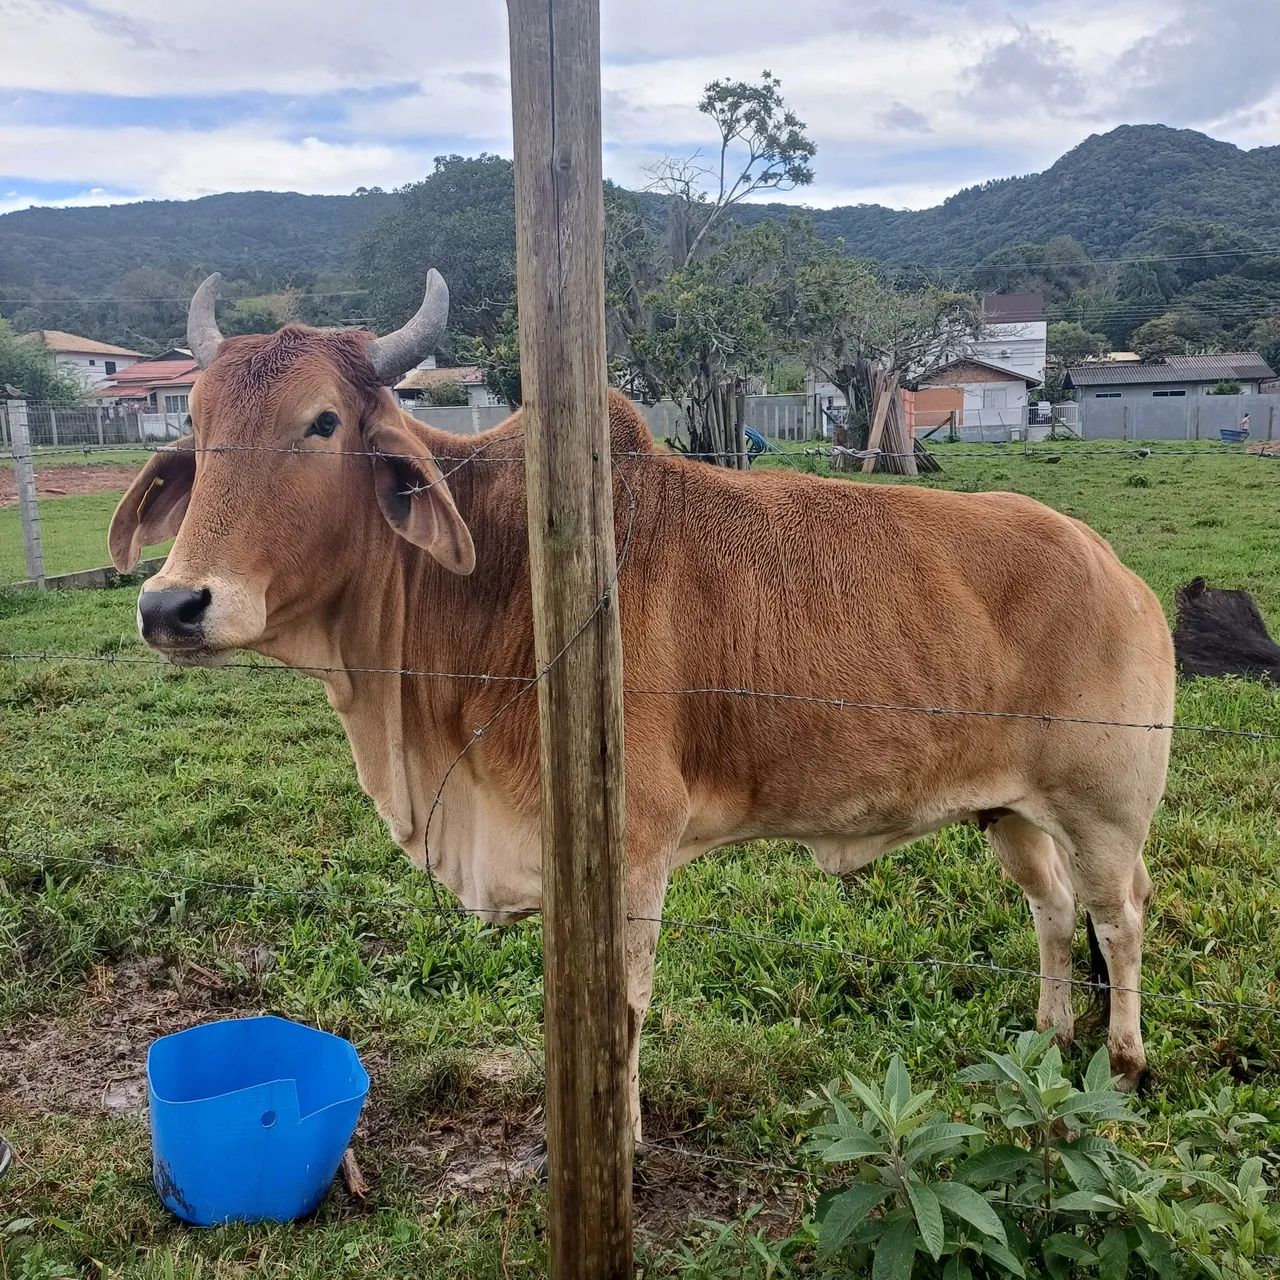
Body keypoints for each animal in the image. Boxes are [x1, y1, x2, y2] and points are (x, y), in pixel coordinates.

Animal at [109, 272, 1175, 1140]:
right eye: (193, 420)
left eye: (323, 422)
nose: (173, 605)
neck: (497, 580)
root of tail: (1116, 571)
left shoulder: (631, 852)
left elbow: (619, 1012)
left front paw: (614, 1137)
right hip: (1009, 812)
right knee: (1051, 908)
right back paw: (1048, 1035)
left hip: (1105, 808)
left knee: (1119, 915)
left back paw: (1123, 1064)